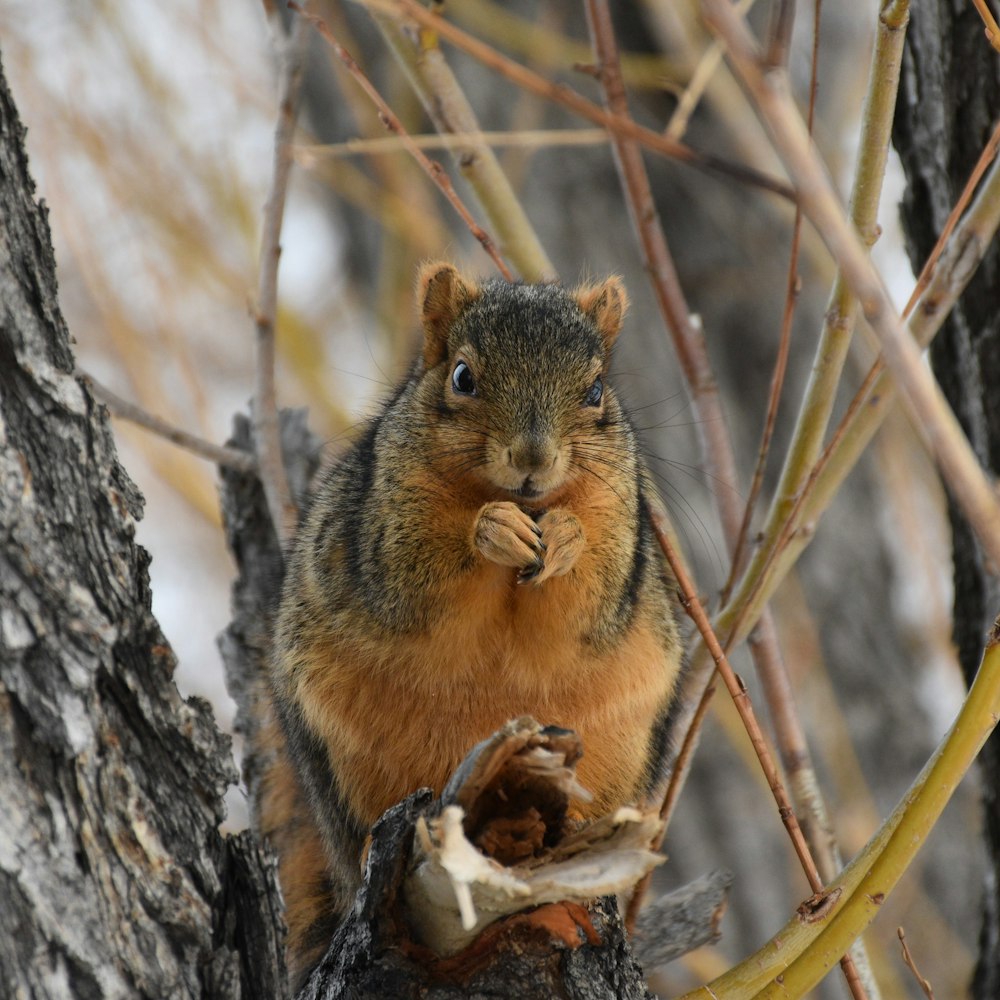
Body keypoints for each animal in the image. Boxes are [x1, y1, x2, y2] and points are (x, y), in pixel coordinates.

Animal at [264, 260, 688, 984]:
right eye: (462, 377)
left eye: (596, 390)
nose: (533, 460)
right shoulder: (388, 531)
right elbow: (421, 577)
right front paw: (492, 530)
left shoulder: (622, 535)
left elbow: (587, 596)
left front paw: (566, 539)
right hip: (341, 778)